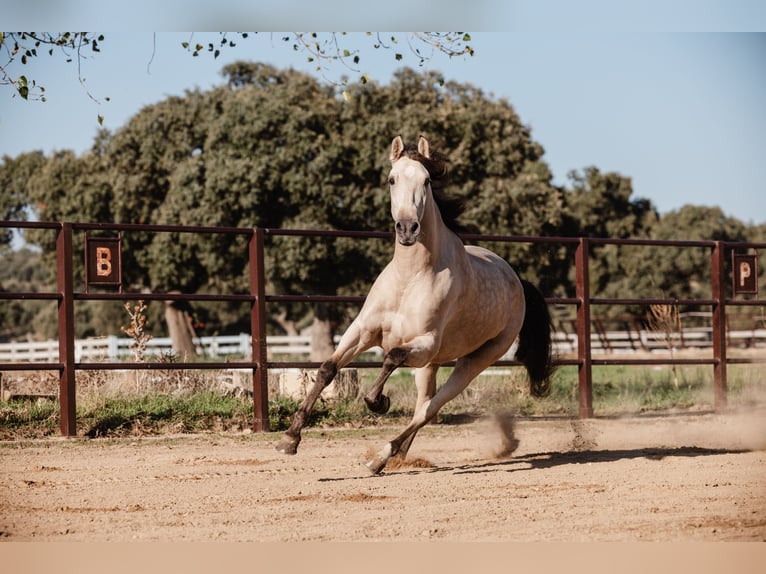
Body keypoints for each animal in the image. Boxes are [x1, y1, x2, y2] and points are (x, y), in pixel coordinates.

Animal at [280, 137, 556, 474]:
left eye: (426, 181)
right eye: (391, 179)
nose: (408, 228)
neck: (410, 277)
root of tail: (516, 281)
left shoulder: (424, 343)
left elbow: (392, 357)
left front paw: (378, 402)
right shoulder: (362, 331)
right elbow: (327, 369)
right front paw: (290, 438)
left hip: (474, 361)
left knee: (429, 409)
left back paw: (381, 457)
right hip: (431, 365)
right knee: (422, 407)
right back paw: (398, 456)